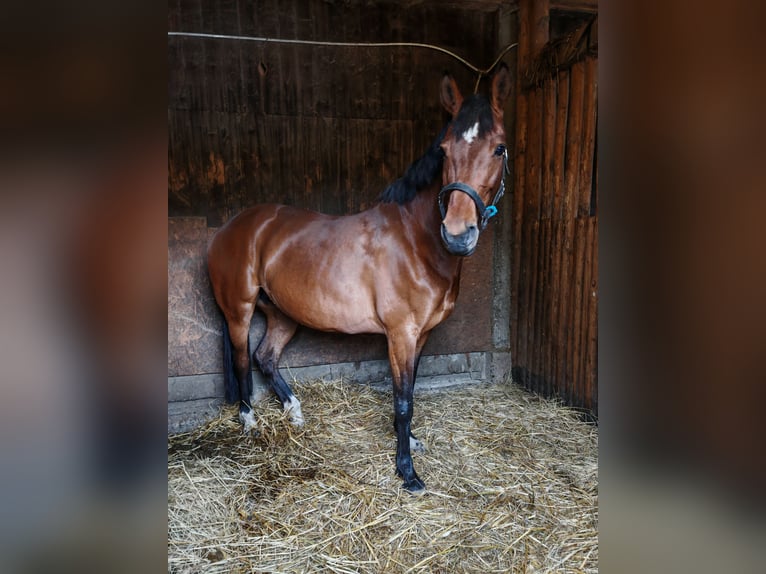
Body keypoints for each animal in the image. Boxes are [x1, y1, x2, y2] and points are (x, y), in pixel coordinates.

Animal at [207, 64, 512, 493]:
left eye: (499, 148)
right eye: (444, 150)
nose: (457, 234)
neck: (414, 240)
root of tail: (230, 227)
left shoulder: (421, 335)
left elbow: (410, 390)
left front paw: (410, 442)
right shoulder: (400, 334)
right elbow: (403, 400)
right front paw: (407, 473)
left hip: (283, 314)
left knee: (264, 357)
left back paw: (294, 411)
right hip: (239, 312)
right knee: (240, 361)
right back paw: (249, 422)